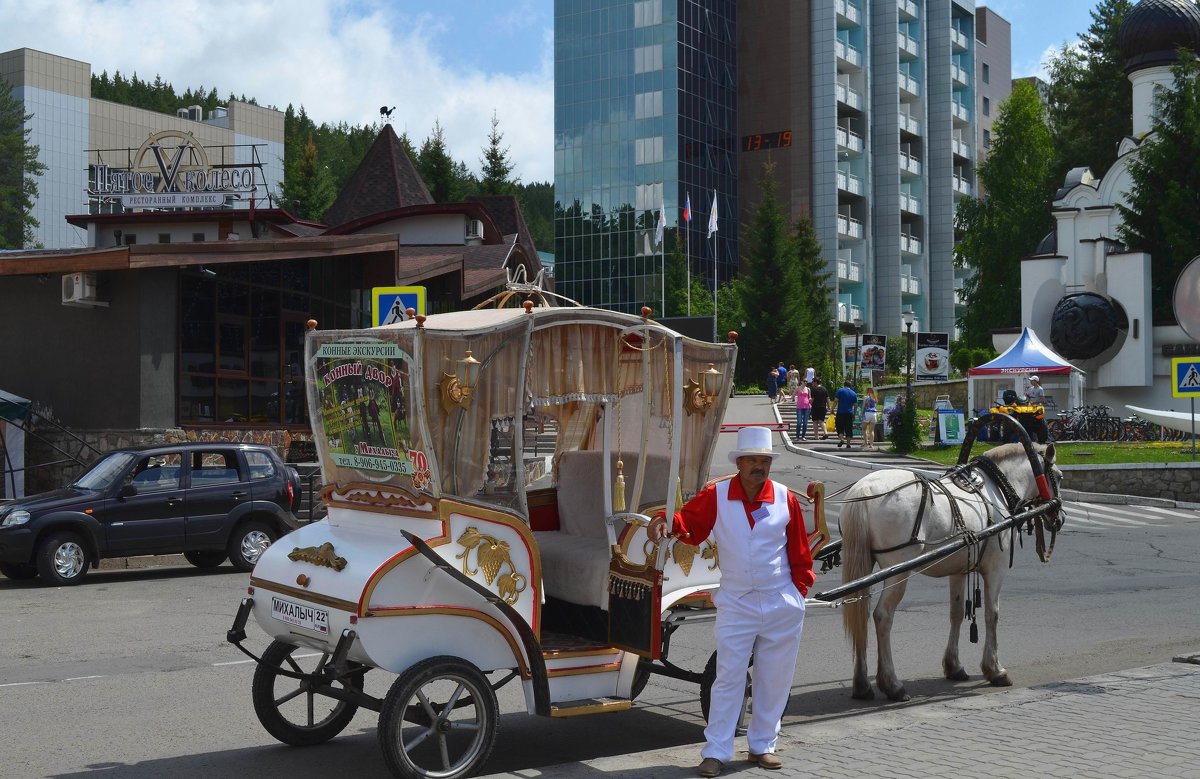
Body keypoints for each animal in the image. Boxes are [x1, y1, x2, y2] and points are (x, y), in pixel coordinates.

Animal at [835, 441, 1060, 700]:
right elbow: (992, 614)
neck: (995, 489)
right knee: (882, 616)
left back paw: (862, 685)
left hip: (866, 568)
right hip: (897, 571)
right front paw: (995, 670)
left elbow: (956, 613)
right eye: (1060, 477)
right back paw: (892, 684)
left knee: (860, 613)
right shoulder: (996, 569)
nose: (1059, 516)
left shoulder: (959, 570)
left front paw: (954, 666)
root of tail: (865, 488)